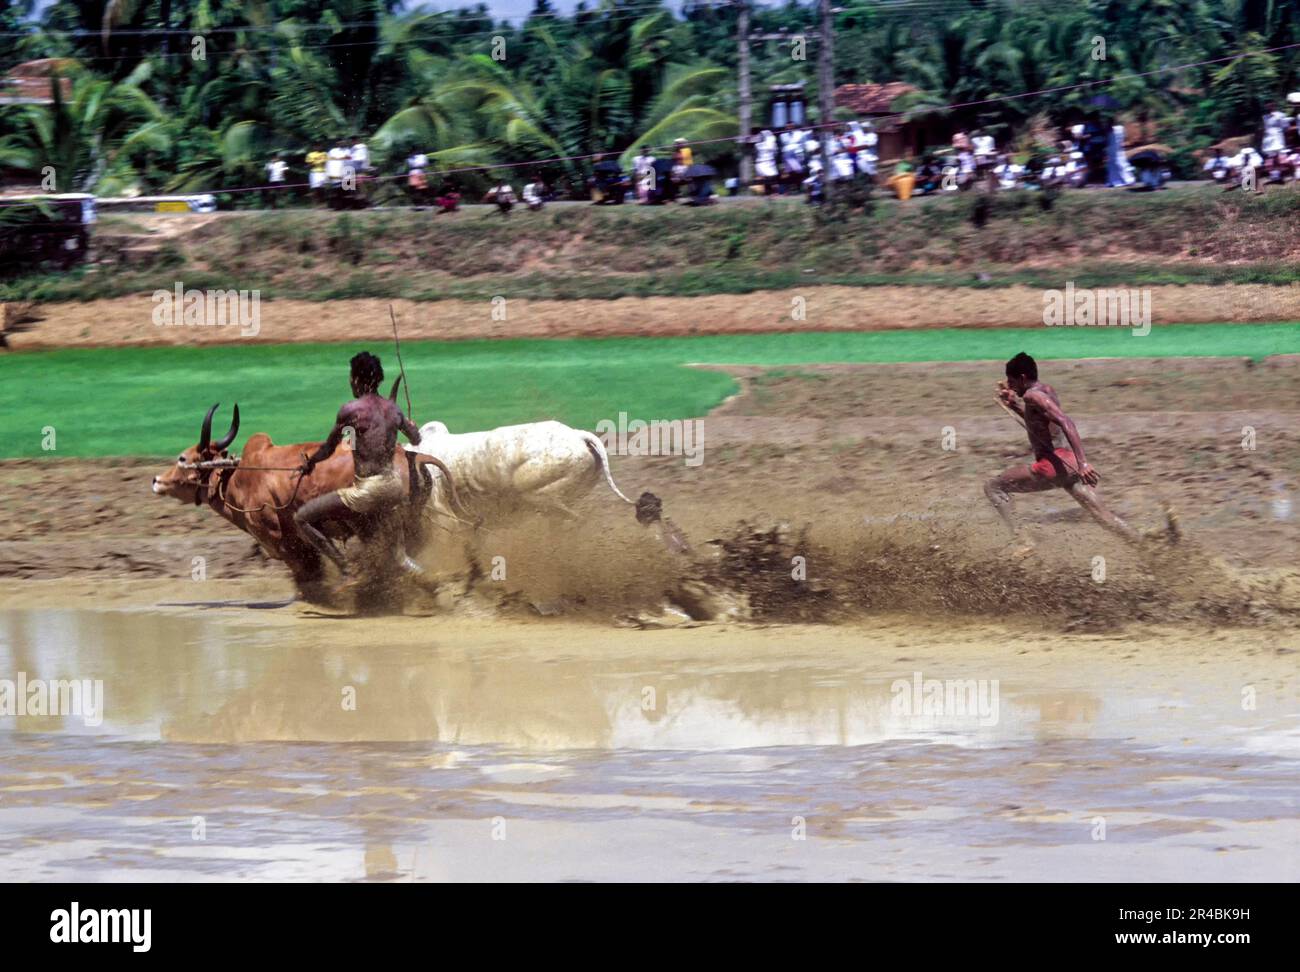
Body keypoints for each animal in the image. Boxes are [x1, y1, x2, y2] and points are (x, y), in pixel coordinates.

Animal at [148, 400, 447, 600]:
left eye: (183, 458)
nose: (156, 480)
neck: (239, 477)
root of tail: (412, 456)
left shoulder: (281, 540)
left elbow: (307, 572)